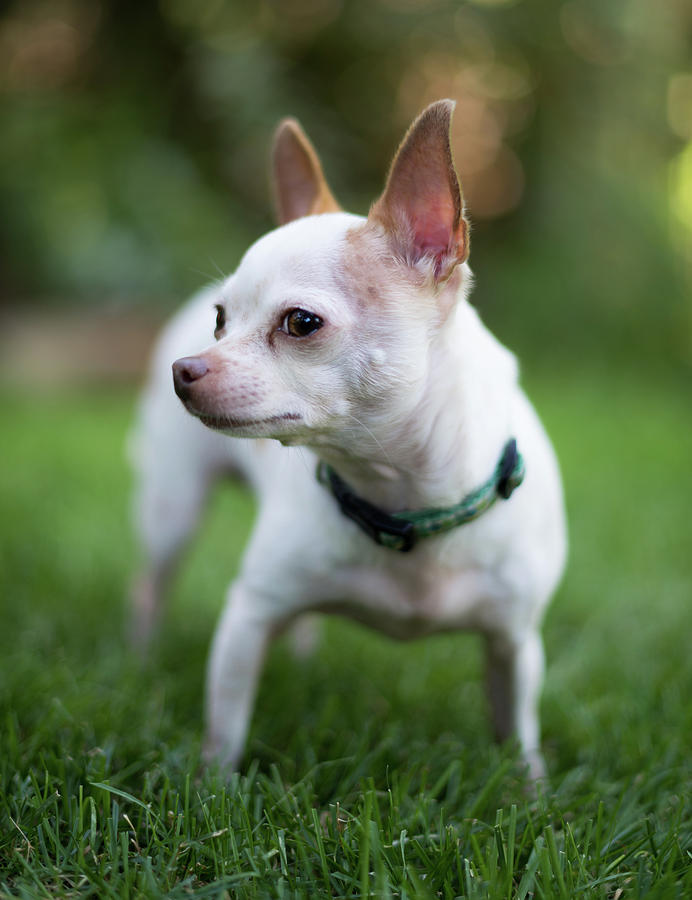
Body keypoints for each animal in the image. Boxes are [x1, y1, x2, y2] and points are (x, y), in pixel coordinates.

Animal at [130, 96, 568, 772]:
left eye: (300, 323)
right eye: (220, 320)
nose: (186, 369)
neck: (400, 497)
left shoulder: (514, 645)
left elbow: (517, 732)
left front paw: (531, 790)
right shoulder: (247, 617)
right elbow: (225, 729)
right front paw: (211, 786)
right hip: (172, 510)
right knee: (150, 586)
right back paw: (140, 660)